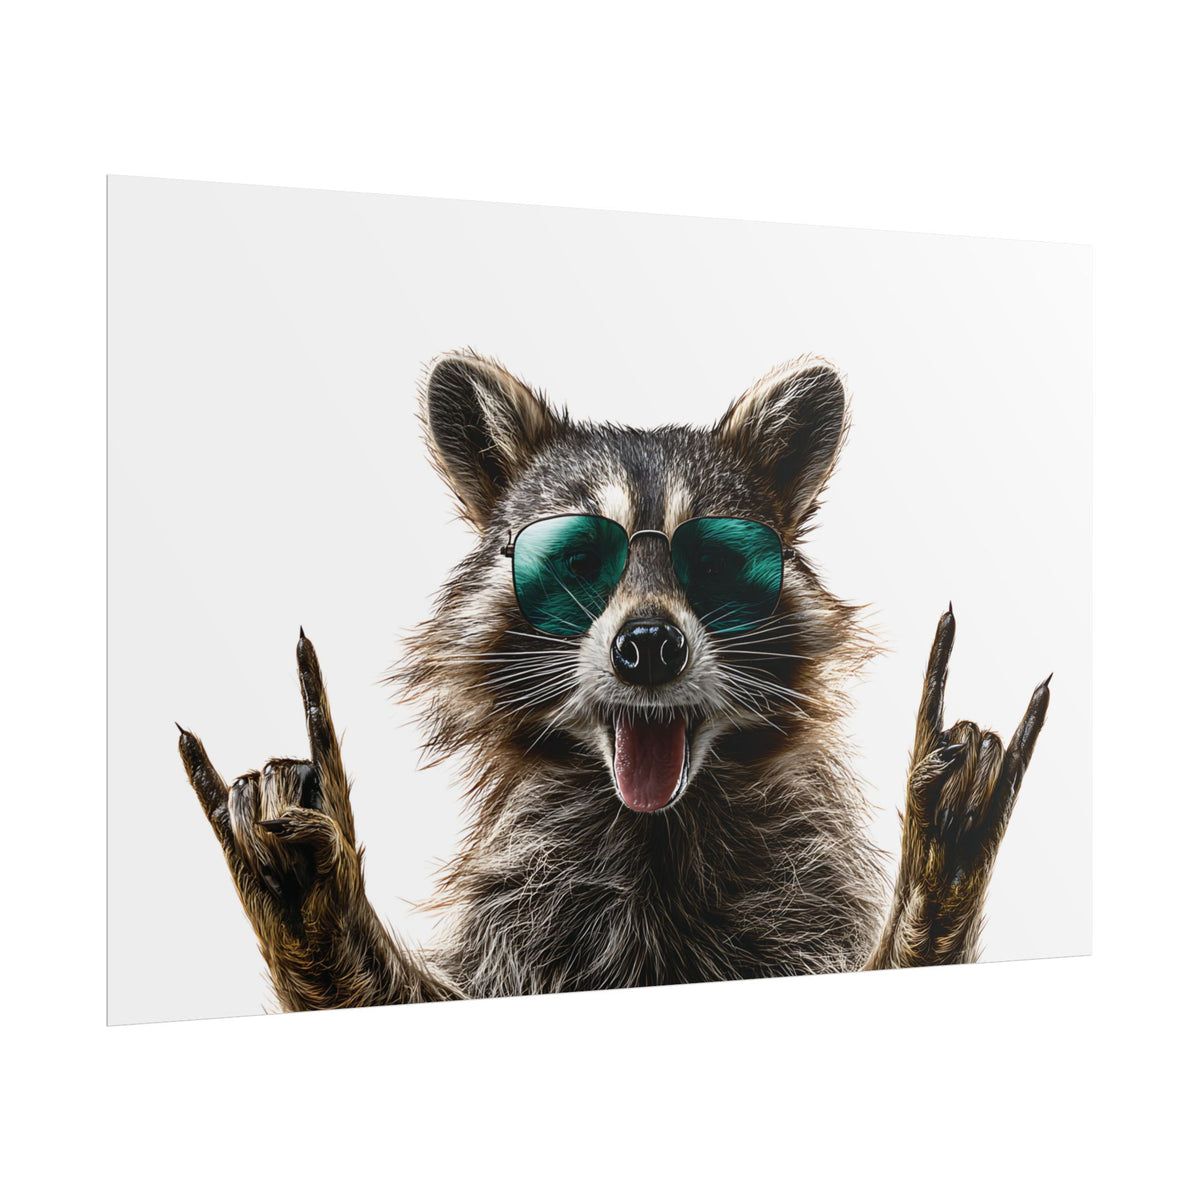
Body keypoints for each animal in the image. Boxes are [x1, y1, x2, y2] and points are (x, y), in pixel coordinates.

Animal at [178, 351, 1050, 1010]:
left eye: (715, 560)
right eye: (577, 559)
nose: (651, 646)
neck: (651, 831)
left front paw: (934, 892)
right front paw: (316, 906)